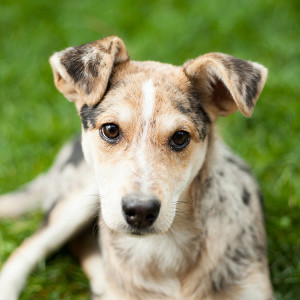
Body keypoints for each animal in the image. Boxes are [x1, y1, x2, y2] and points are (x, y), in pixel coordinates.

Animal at [0, 36, 274, 298]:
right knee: (31, 246)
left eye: (180, 137)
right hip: (78, 199)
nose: (140, 211)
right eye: (111, 130)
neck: (163, 247)